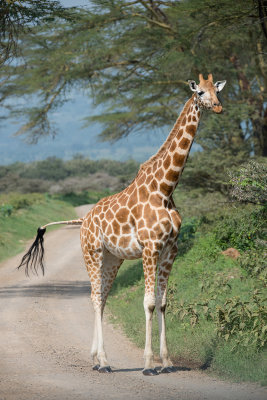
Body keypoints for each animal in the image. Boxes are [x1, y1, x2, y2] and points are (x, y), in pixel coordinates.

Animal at [17, 73, 226, 376]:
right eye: (200, 92)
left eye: (217, 91)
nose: (218, 107)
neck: (165, 189)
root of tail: (83, 219)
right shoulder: (150, 247)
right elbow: (149, 302)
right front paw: (149, 364)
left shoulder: (170, 249)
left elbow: (163, 302)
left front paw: (167, 362)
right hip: (91, 252)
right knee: (95, 297)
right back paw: (103, 361)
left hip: (112, 257)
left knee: (102, 297)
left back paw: (97, 359)